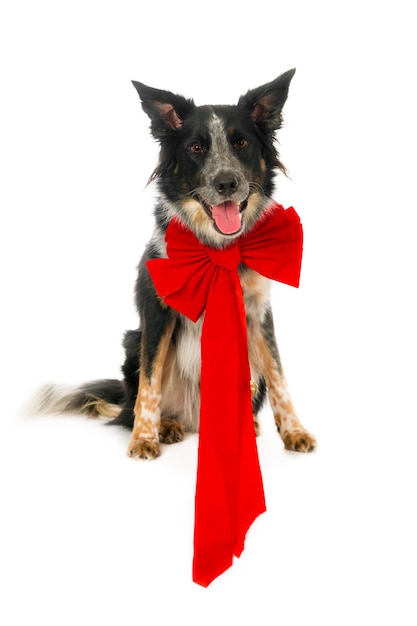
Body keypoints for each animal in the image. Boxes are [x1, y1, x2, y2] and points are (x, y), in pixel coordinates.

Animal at [38, 69, 316, 458]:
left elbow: (278, 376)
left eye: (241, 143)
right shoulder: (157, 312)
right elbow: (150, 383)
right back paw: (165, 425)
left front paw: (294, 431)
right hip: (132, 344)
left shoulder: (258, 313)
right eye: (196, 148)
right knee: (130, 406)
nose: (226, 182)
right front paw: (144, 438)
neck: (217, 247)